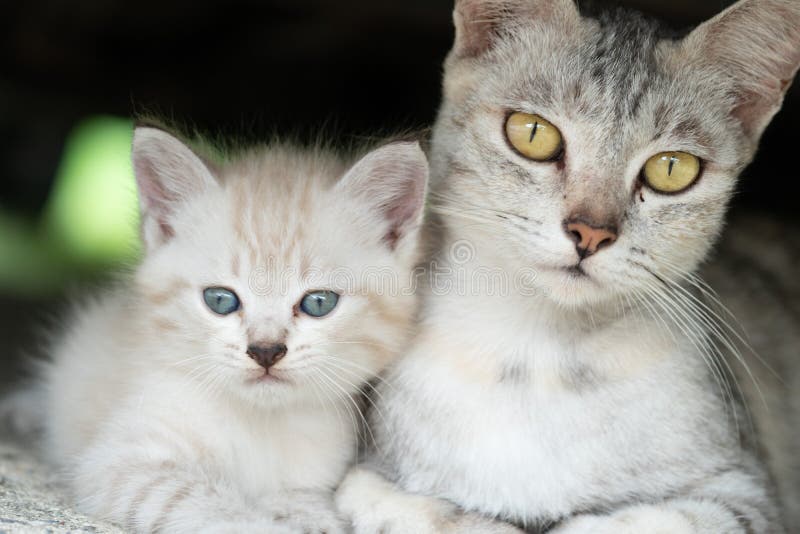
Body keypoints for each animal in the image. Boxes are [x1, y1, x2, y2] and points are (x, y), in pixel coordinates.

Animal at [336, 0, 800, 532]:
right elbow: (407, 505)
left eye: (672, 168)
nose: (591, 233)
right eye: (533, 134)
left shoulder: (748, 493)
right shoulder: (364, 475)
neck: (539, 357)